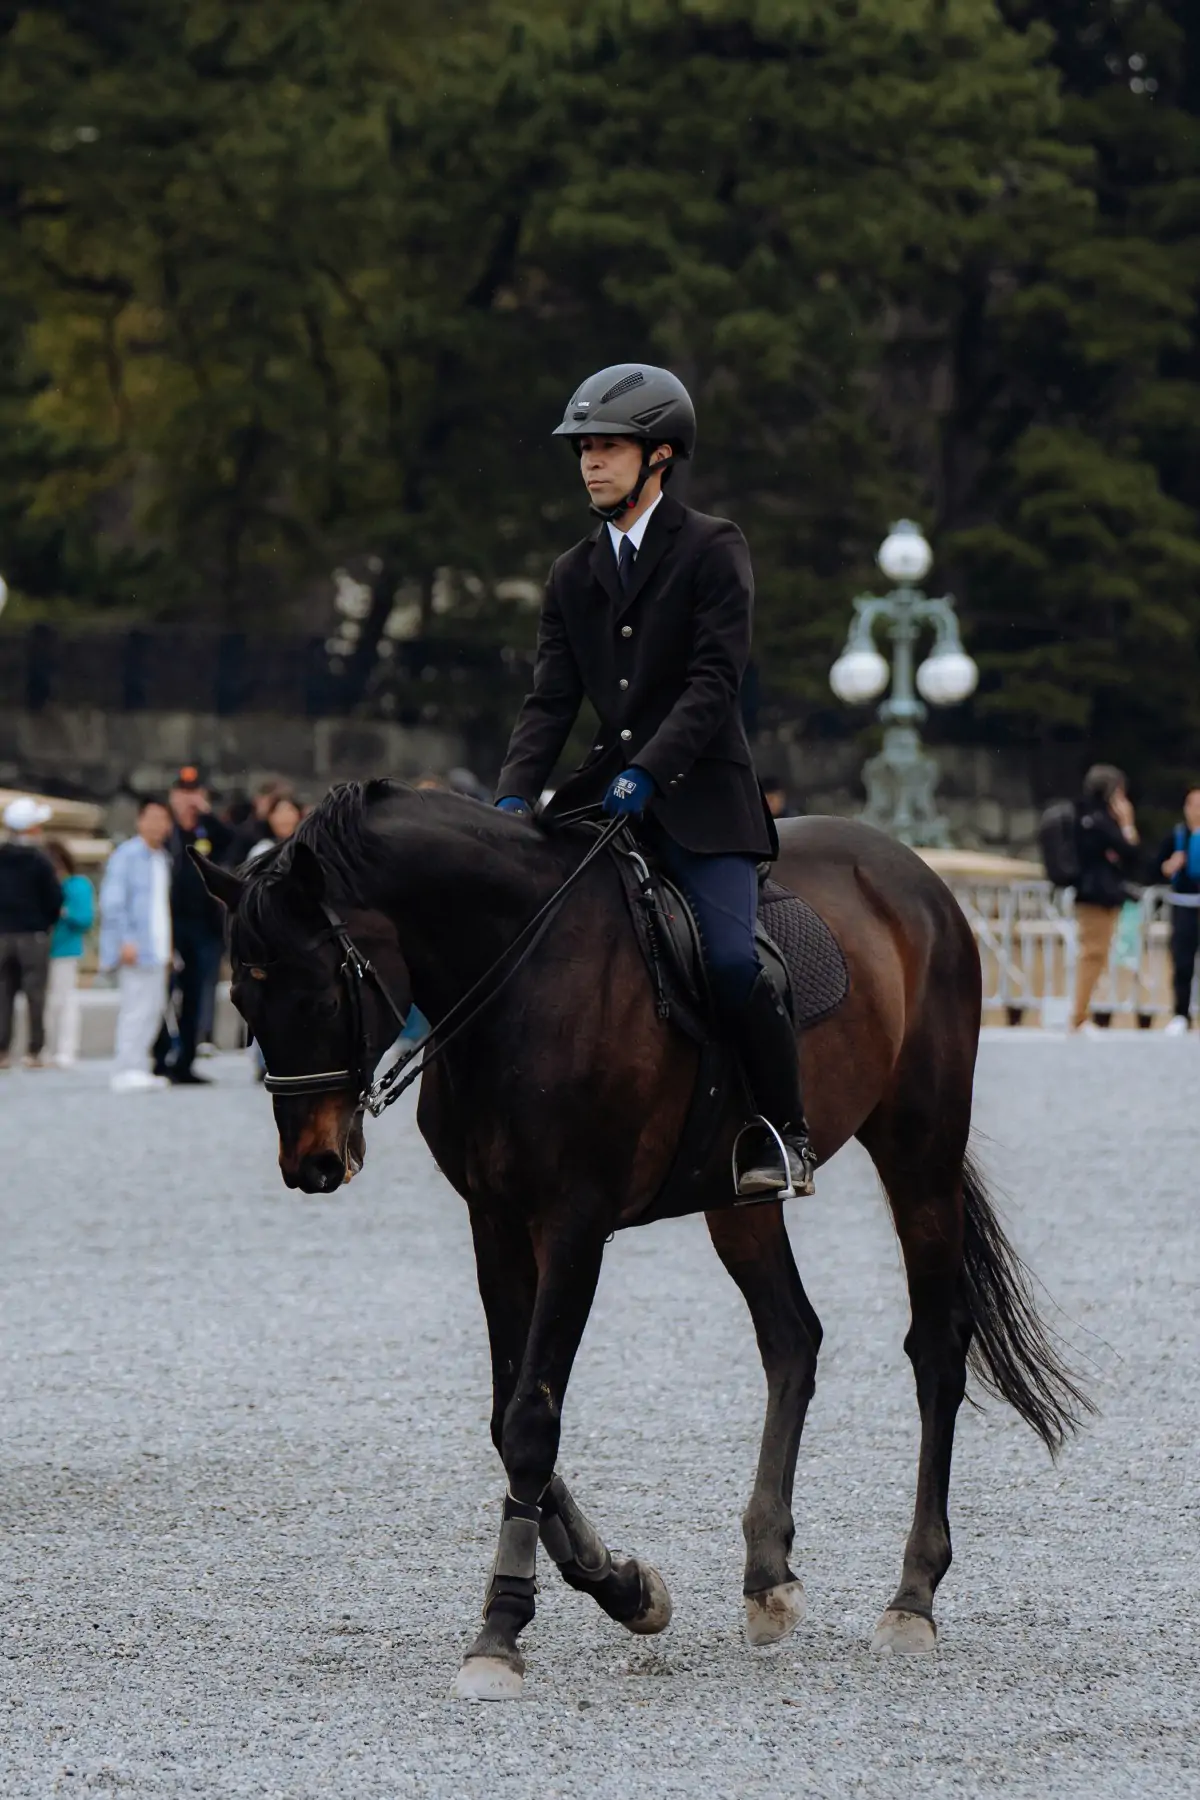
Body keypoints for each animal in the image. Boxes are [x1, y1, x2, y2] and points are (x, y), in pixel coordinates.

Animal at [195, 781, 1086, 1692]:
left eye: (316, 994)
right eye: (242, 1004)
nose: (311, 1163)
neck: (517, 974)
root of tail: (914, 872)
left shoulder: (574, 1223)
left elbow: (531, 1419)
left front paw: (503, 1627)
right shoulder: (495, 1221)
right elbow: (506, 1416)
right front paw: (622, 1585)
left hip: (920, 1148)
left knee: (936, 1349)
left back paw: (913, 1596)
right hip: (739, 1198)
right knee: (792, 1338)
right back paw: (768, 1576)